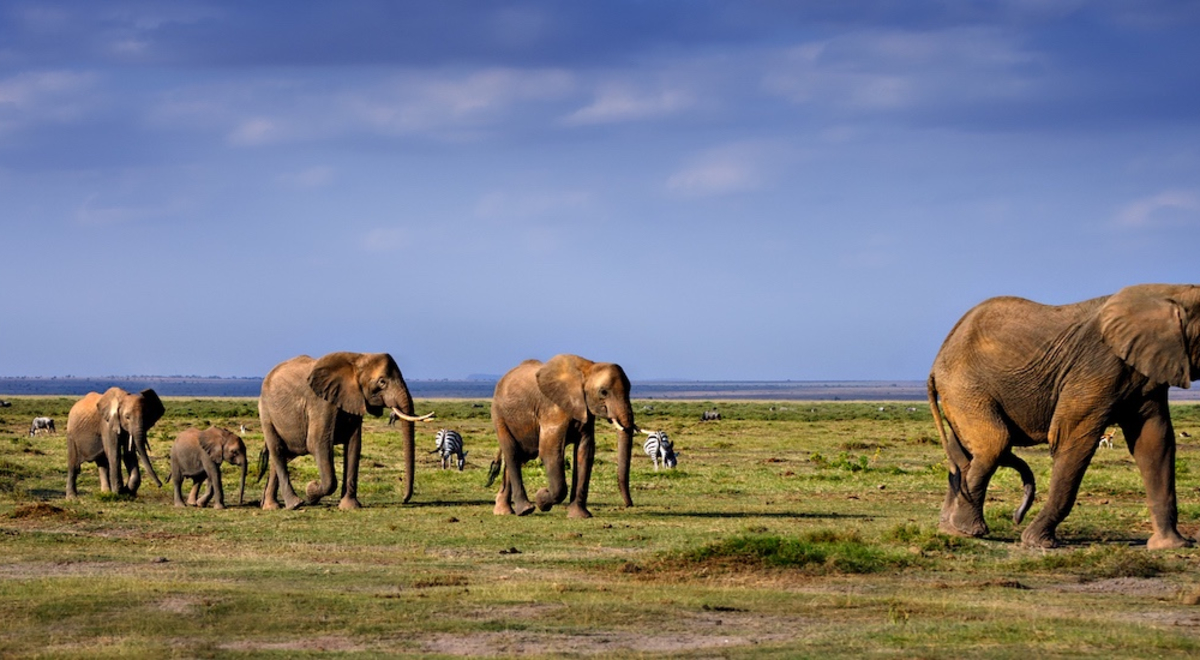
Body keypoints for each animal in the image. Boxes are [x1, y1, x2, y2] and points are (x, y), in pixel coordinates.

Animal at [255, 352, 434, 511]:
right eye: (382, 382)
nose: (404, 499)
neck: (357, 359)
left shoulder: (354, 400)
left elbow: (354, 445)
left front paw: (349, 507)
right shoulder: (321, 402)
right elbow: (317, 444)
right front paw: (311, 491)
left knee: (281, 456)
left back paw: (270, 506)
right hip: (266, 412)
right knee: (277, 450)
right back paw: (295, 504)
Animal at [487, 355, 643, 520]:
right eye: (603, 392)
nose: (629, 504)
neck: (587, 369)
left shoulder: (585, 411)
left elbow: (585, 452)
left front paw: (580, 516)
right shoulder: (553, 408)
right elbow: (549, 451)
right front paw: (541, 498)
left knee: (520, 457)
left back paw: (503, 511)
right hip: (499, 416)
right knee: (512, 454)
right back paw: (525, 510)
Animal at [926, 283, 1200, 549]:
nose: (1016, 517)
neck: (1169, 293)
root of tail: (936, 363)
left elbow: (1154, 443)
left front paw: (1171, 545)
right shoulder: (1095, 369)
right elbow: (1071, 440)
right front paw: (1039, 542)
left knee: (963, 455)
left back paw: (951, 529)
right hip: (964, 388)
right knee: (995, 444)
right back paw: (970, 530)